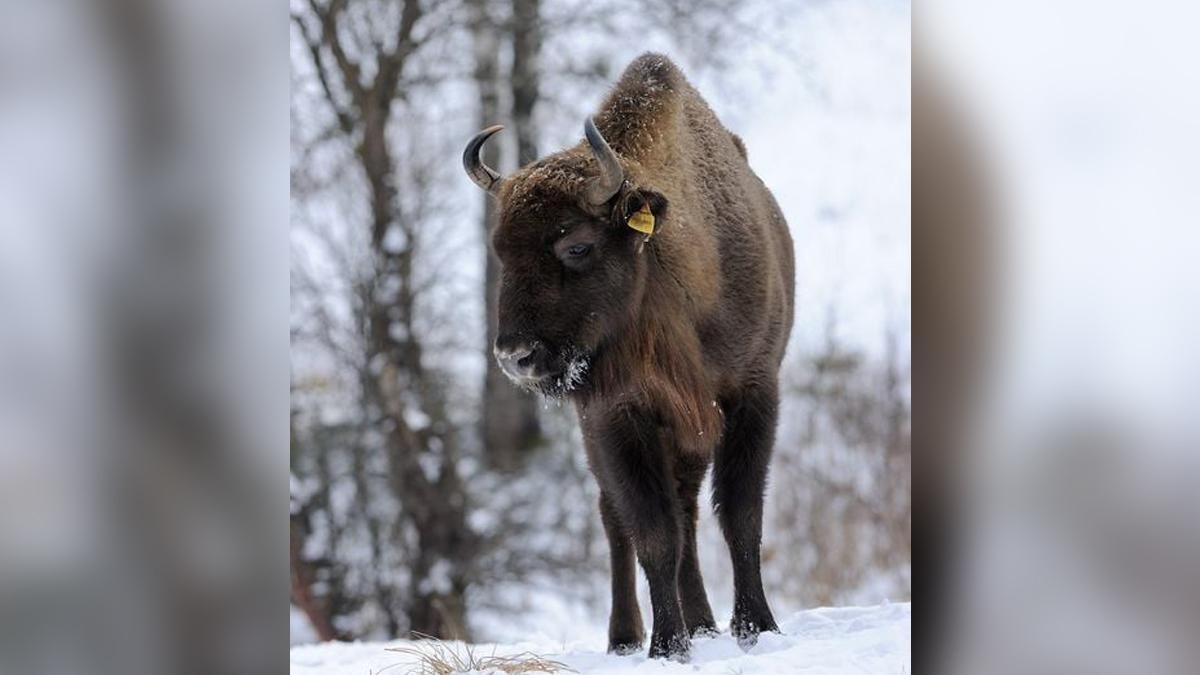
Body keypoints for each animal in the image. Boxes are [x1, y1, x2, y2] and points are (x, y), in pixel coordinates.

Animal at [463, 52, 792, 658]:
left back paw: (704, 623)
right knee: (620, 517)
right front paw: (667, 646)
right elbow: (652, 530)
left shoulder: (751, 394)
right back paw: (627, 637)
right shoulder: (618, 415)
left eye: (576, 245)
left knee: (687, 510)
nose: (516, 356)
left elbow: (740, 514)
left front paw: (756, 627)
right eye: (499, 252)